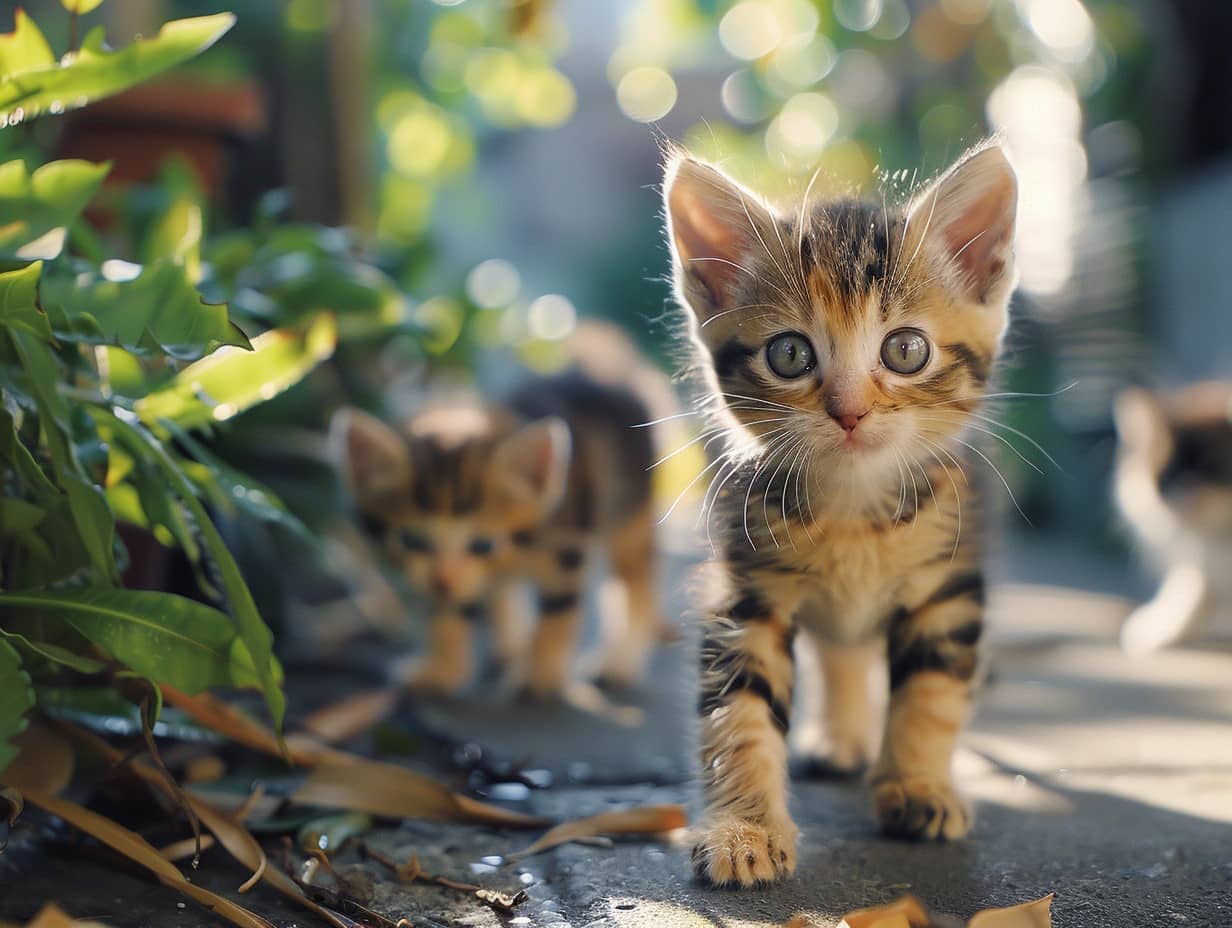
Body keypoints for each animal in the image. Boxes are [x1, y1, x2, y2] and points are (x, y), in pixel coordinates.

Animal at [332, 325, 670, 695]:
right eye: (412, 541)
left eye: (483, 544)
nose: (441, 581)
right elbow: (454, 609)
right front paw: (442, 670)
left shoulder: (565, 546)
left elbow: (558, 612)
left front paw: (540, 677)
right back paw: (509, 645)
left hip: (630, 511)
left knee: (636, 584)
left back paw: (619, 662)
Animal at [670, 144, 1015, 882]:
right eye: (790, 354)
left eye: (906, 350)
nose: (849, 412)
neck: (854, 515)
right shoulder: (744, 589)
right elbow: (738, 711)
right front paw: (745, 830)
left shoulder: (947, 585)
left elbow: (930, 696)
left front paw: (918, 786)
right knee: (842, 651)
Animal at [1113, 379, 1232, 655]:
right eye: (1169, 471)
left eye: (1211, 466)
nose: (1188, 490)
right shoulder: (1202, 565)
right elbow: (1189, 592)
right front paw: (1161, 628)